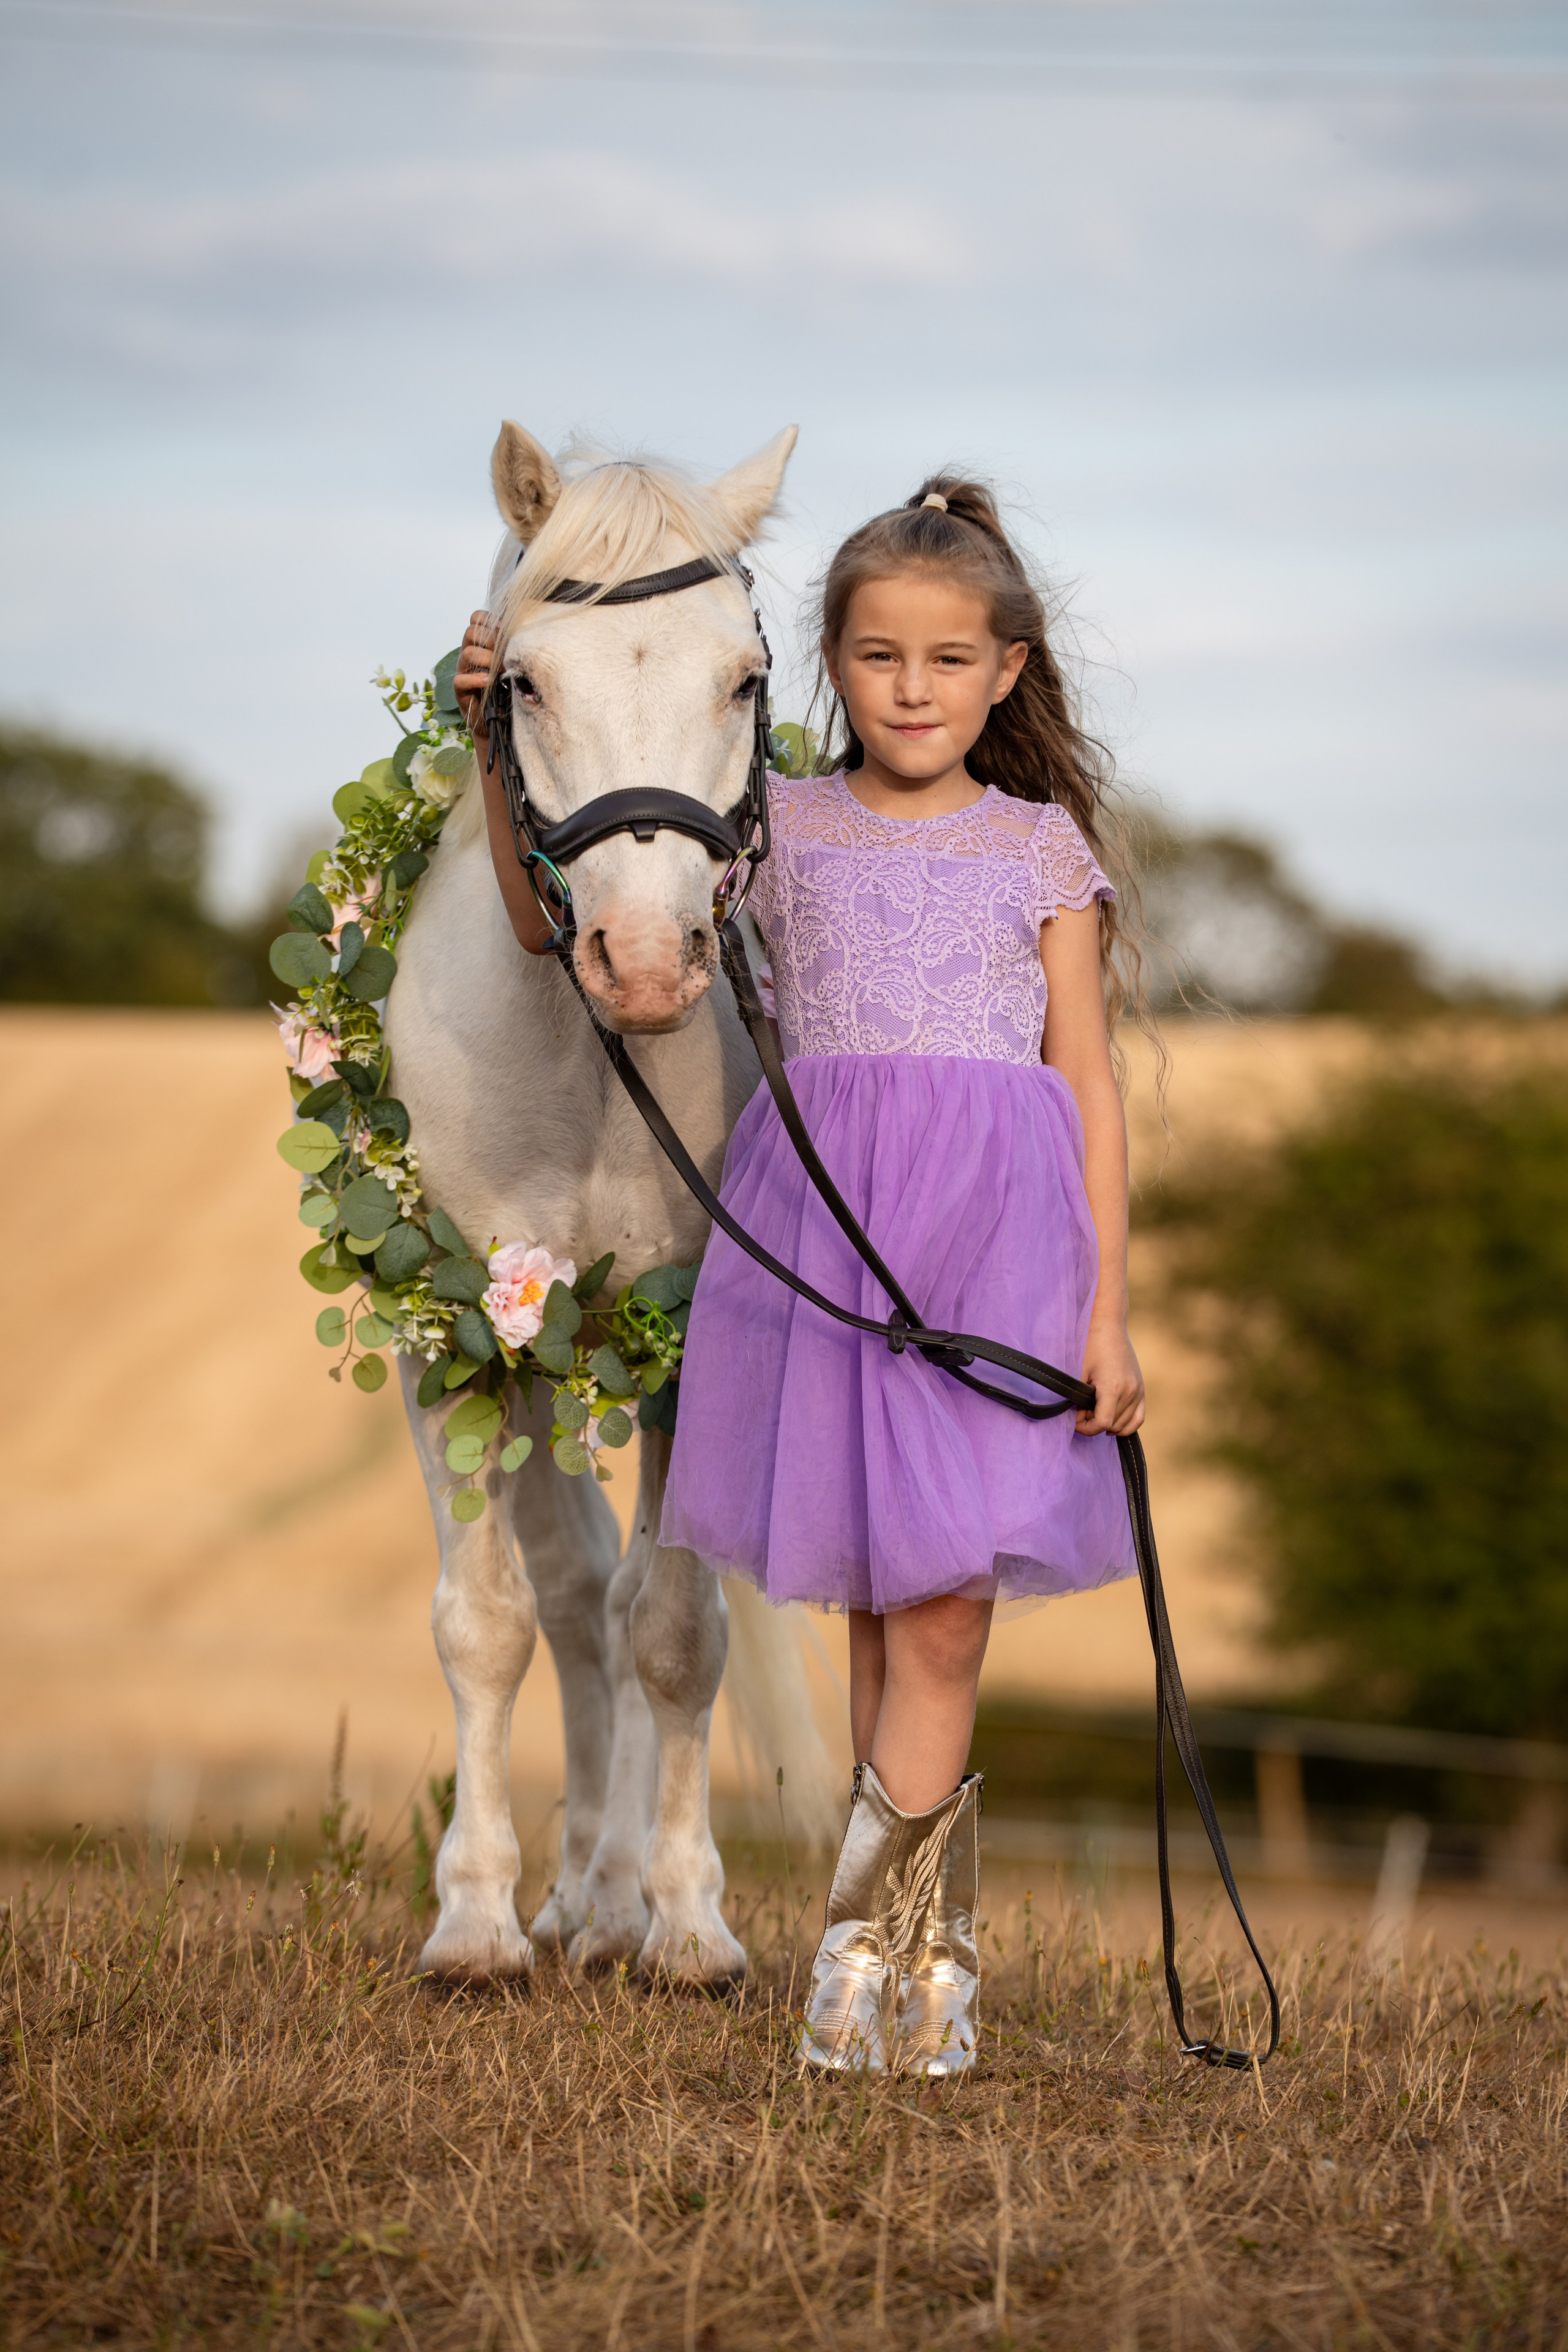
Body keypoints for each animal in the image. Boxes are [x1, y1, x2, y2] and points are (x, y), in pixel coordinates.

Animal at [384, 421, 838, 1984]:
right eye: (524, 679)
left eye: (744, 677)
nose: (643, 964)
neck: (590, 1068)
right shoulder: (454, 1334)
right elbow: (486, 1622)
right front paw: (471, 1921)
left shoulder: (689, 1341)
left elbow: (677, 1633)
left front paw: (688, 1924)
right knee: (574, 1593)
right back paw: (573, 1891)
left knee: (630, 1607)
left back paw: (621, 1898)